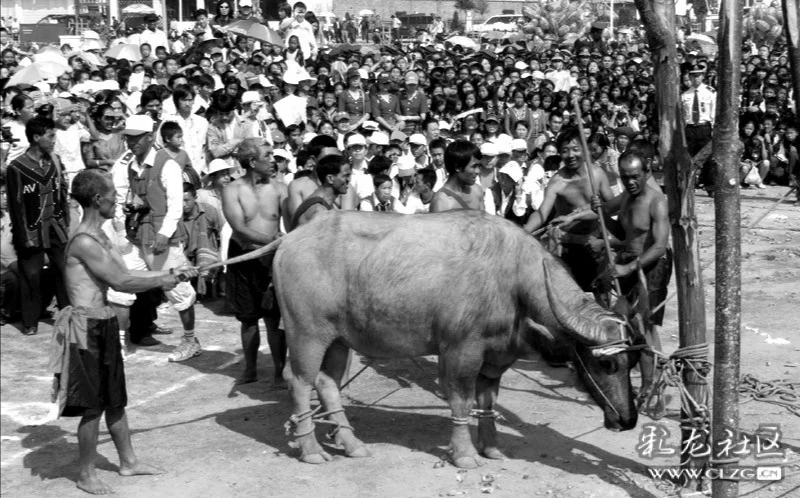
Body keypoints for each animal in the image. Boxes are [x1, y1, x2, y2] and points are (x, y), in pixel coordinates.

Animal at [258, 209, 644, 466]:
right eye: (607, 365)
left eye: (634, 362)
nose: (628, 420)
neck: (513, 279)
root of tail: (289, 239)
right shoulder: (461, 350)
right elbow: (461, 401)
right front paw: (465, 454)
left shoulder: (496, 357)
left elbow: (487, 401)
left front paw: (491, 447)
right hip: (306, 334)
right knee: (299, 381)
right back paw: (311, 450)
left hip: (339, 340)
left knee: (327, 383)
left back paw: (352, 444)